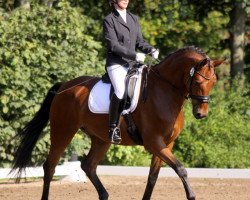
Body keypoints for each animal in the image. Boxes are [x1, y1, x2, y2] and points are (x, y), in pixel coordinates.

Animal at [11, 46, 223, 199]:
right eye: (198, 82)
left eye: (213, 82)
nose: (201, 114)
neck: (165, 91)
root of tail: (64, 86)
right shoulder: (154, 143)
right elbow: (181, 169)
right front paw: (192, 195)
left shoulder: (166, 143)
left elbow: (152, 178)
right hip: (63, 131)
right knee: (50, 166)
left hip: (101, 139)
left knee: (88, 166)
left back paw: (104, 195)